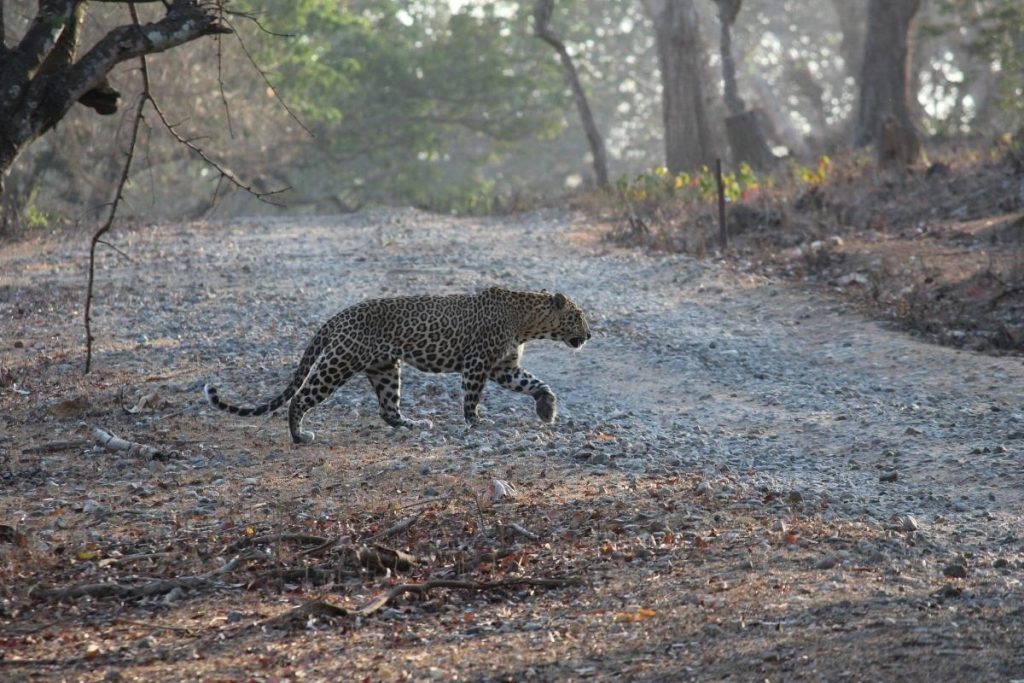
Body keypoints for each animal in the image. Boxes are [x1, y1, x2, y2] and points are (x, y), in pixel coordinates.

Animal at [203, 286, 589, 444]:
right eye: (578, 316)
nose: (589, 334)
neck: (527, 322)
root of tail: (337, 317)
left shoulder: (502, 367)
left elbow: (535, 383)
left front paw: (547, 409)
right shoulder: (478, 364)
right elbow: (471, 397)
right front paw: (476, 422)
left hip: (385, 369)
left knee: (388, 410)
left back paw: (414, 424)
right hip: (338, 363)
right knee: (300, 398)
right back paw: (300, 436)